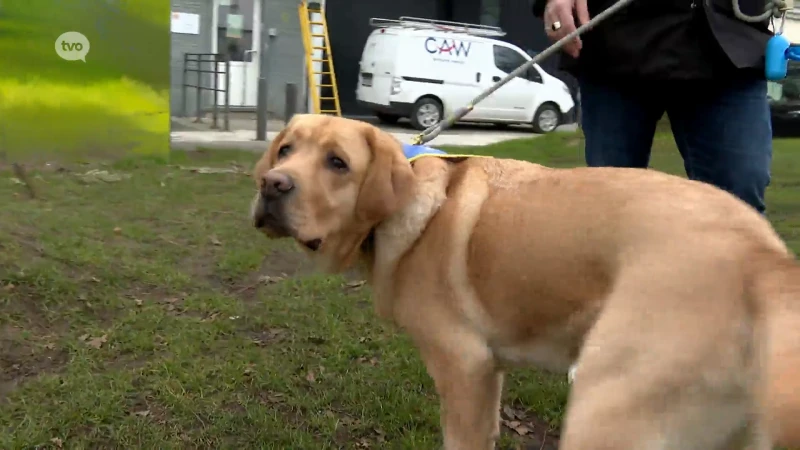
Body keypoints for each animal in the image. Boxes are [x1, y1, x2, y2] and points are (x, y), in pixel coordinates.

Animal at [250, 114, 800, 450]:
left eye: (337, 163)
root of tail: (762, 257)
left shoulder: (463, 365)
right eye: (285, 150)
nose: (271, 184)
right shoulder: (488, 372)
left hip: (606, 414)